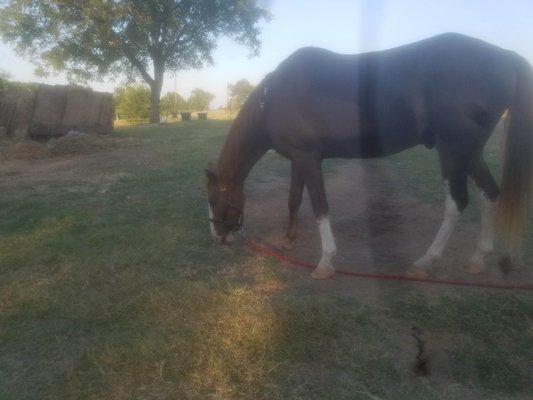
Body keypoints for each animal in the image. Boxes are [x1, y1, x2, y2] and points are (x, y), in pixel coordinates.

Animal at [205, 33, 532, 278]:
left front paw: (325, 262)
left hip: (452, 150)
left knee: (457, 204)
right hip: (469, 151)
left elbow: (320, 206)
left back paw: (426, 262)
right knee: (490, 194)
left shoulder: (309, 159)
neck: (273, 99)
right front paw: (287, 241)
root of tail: (505, 56)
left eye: (213, 198)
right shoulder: (298, 158)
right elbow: (294, 199)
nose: (218, 237)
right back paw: (478, 259)